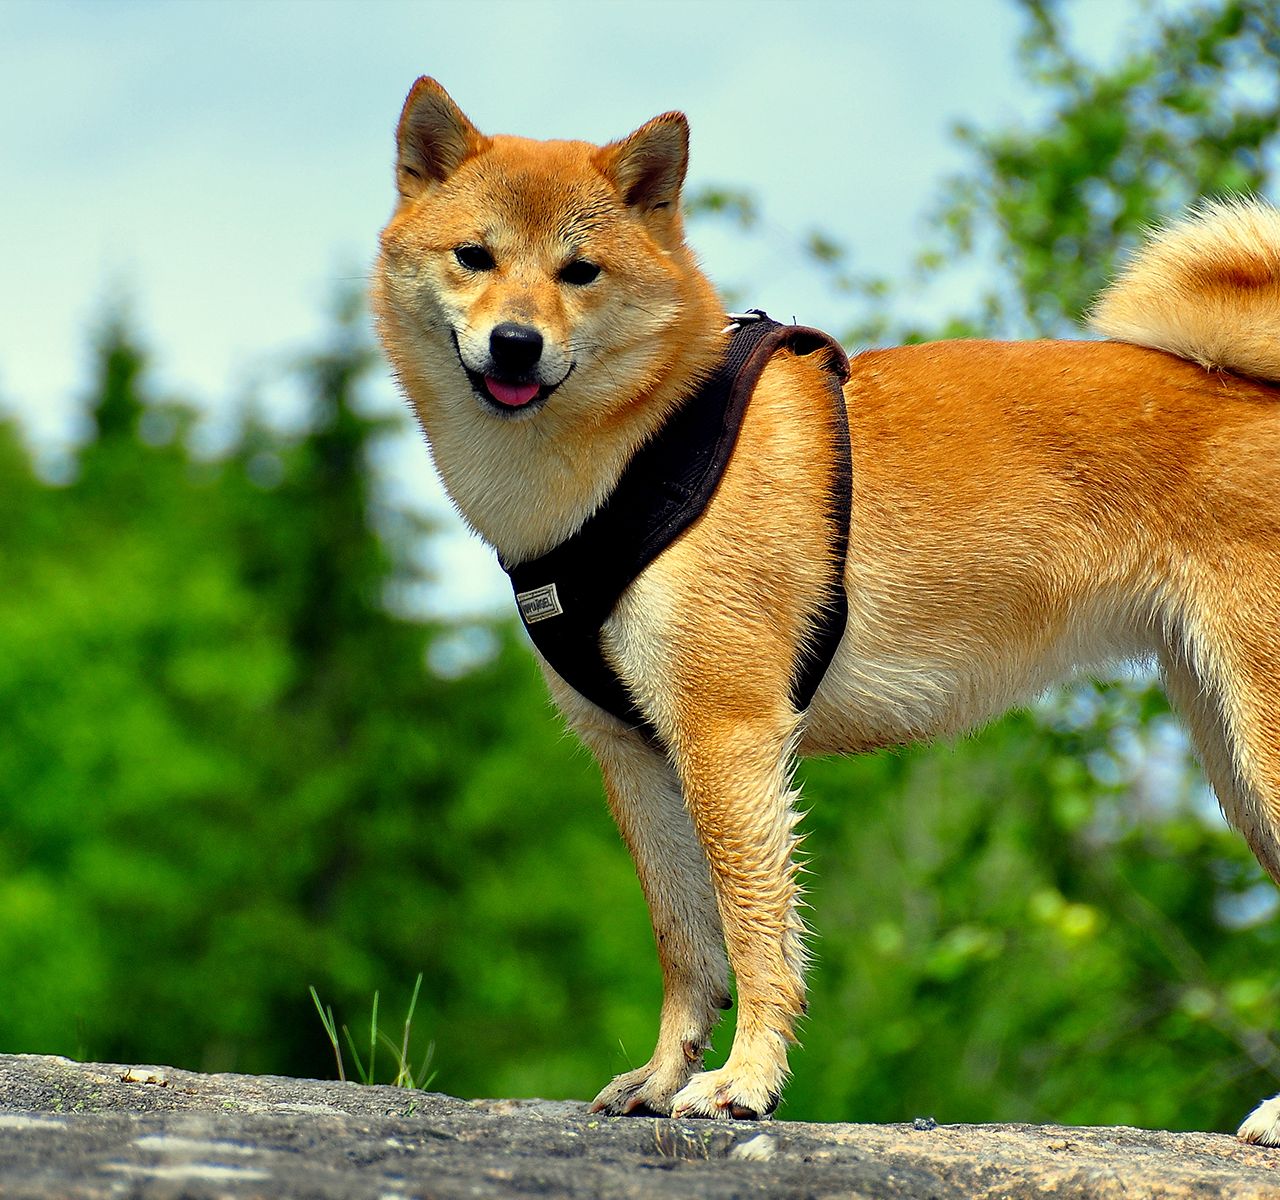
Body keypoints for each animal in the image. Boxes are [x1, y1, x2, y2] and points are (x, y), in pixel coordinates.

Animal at [373, 77, 1280, 1141]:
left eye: (580, 272)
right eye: (474, 256)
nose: (516, 342)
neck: (639, 443)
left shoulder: (727, 734)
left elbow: (755, 931)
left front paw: (744, 1082)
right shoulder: (635, 750)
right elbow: (686, 946)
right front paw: (663, 1078)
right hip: (1230, 755)